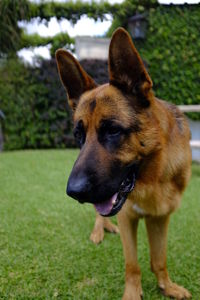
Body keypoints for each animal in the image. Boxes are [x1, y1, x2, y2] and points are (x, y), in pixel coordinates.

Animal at [55, 27, 191, 298]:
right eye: (78, 135)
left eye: (113, 131)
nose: (73, 192)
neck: (154, 176)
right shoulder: (127, 216)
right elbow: (132, 265)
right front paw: (132, 293)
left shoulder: (160, 217)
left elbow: (159, 259)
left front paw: (166, 286)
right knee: (99, 215)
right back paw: (100, 230)